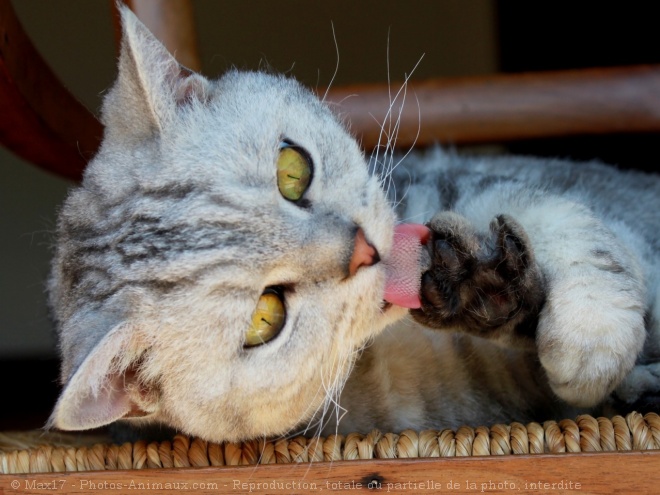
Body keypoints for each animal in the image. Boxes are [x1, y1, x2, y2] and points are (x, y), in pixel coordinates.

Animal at [47, 6, 660, 442]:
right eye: (265, 318)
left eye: (292, 170)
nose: (366, 250)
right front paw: (484, 295)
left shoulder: (477, 185)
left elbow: (573, 221)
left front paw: (590, 331)